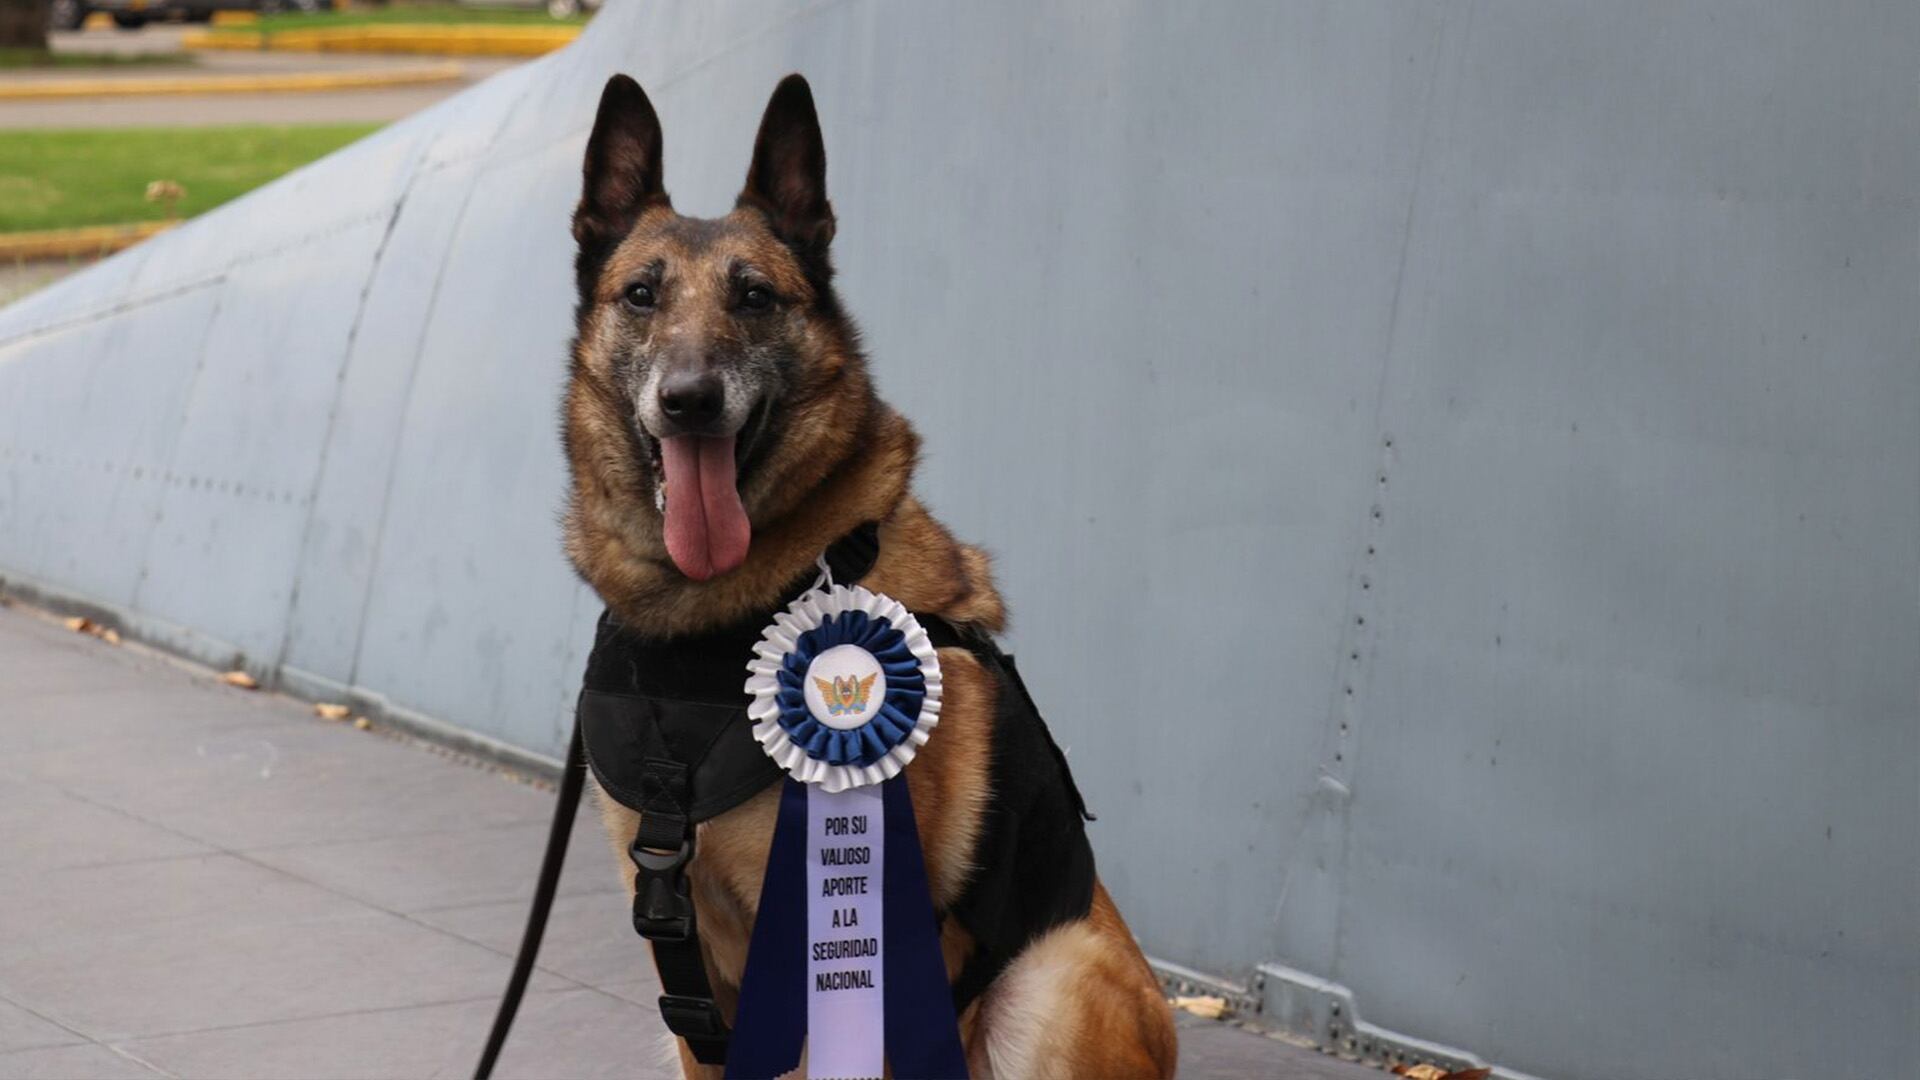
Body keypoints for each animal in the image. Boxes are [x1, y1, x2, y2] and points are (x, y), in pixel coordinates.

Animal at [560, 71, 1175, 1068]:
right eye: (642, 294)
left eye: (755, 297)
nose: (690, 402)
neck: (715, 618)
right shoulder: (694, 985)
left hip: (1053, 981)